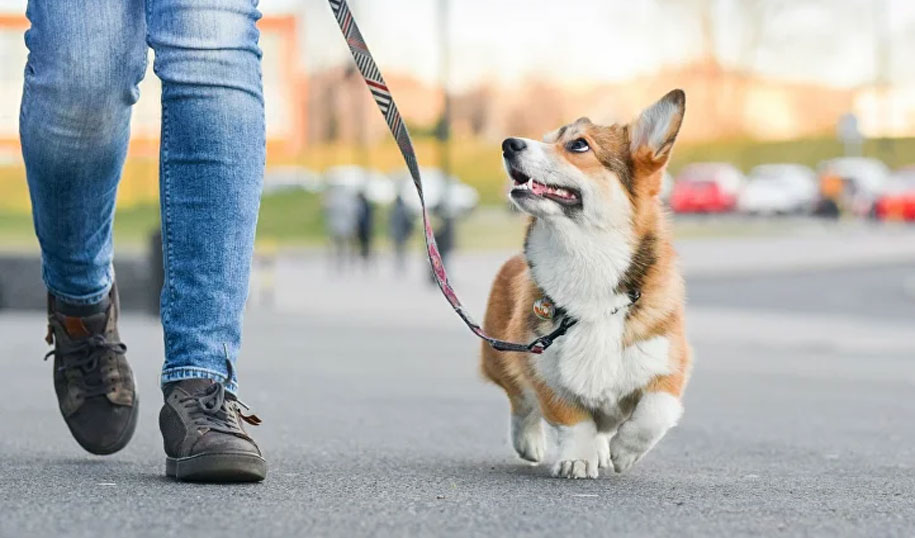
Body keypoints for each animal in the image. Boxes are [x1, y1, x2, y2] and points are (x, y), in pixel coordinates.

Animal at [484, 89, 692, 478]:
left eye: (578, 144)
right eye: (547, 138)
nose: (509, 143)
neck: (587, 258)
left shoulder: (668, 363)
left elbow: (654, 412)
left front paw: (624, 451)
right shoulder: (543, 368)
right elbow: (572, 420)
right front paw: (578, 458)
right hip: (499, 355)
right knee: (520, 402)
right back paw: (530, 442)